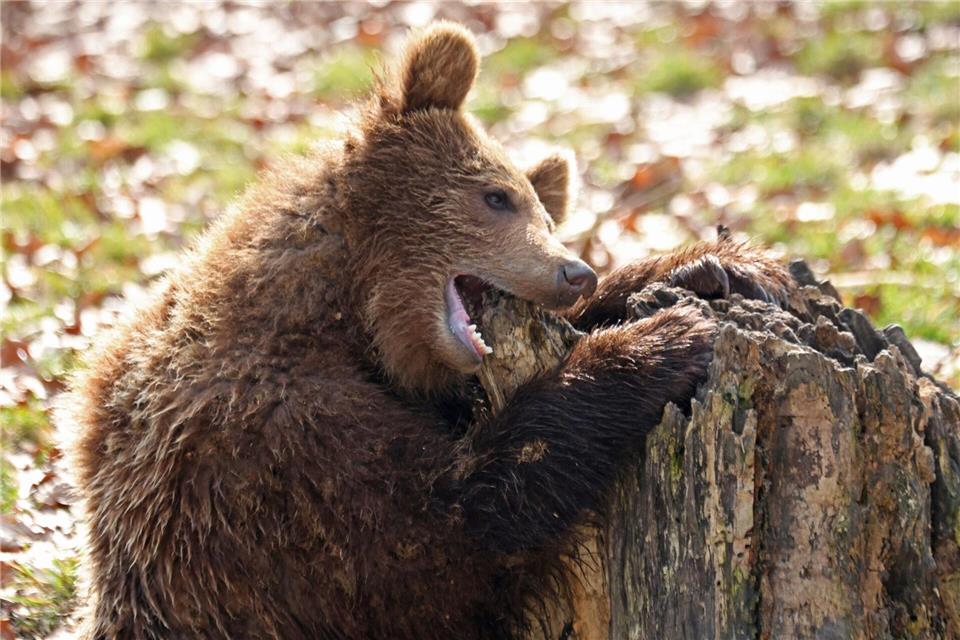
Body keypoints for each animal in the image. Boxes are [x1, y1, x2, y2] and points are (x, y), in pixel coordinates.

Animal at [62, 21, 795, 640]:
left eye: (544, 214)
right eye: (496, 197)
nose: (576, 272)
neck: (341, 311)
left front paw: (718, 269)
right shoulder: (268, 456)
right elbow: (447, 524)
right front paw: (663, 340)